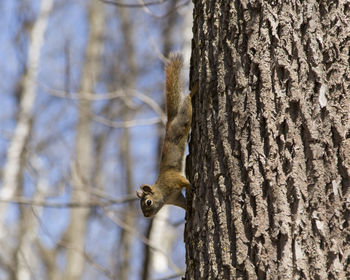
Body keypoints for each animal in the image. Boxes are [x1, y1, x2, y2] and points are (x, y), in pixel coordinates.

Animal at [137, 53, 197, 218]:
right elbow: (183, 204)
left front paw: (190, 186)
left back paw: (194, 90)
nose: (146, 216)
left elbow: (184, 181)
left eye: (148, 202)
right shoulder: (176, 198)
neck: (164, 193)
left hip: (182, 121)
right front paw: (188, 209)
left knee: (187, 103)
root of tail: (170, 121)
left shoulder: (174, 180)